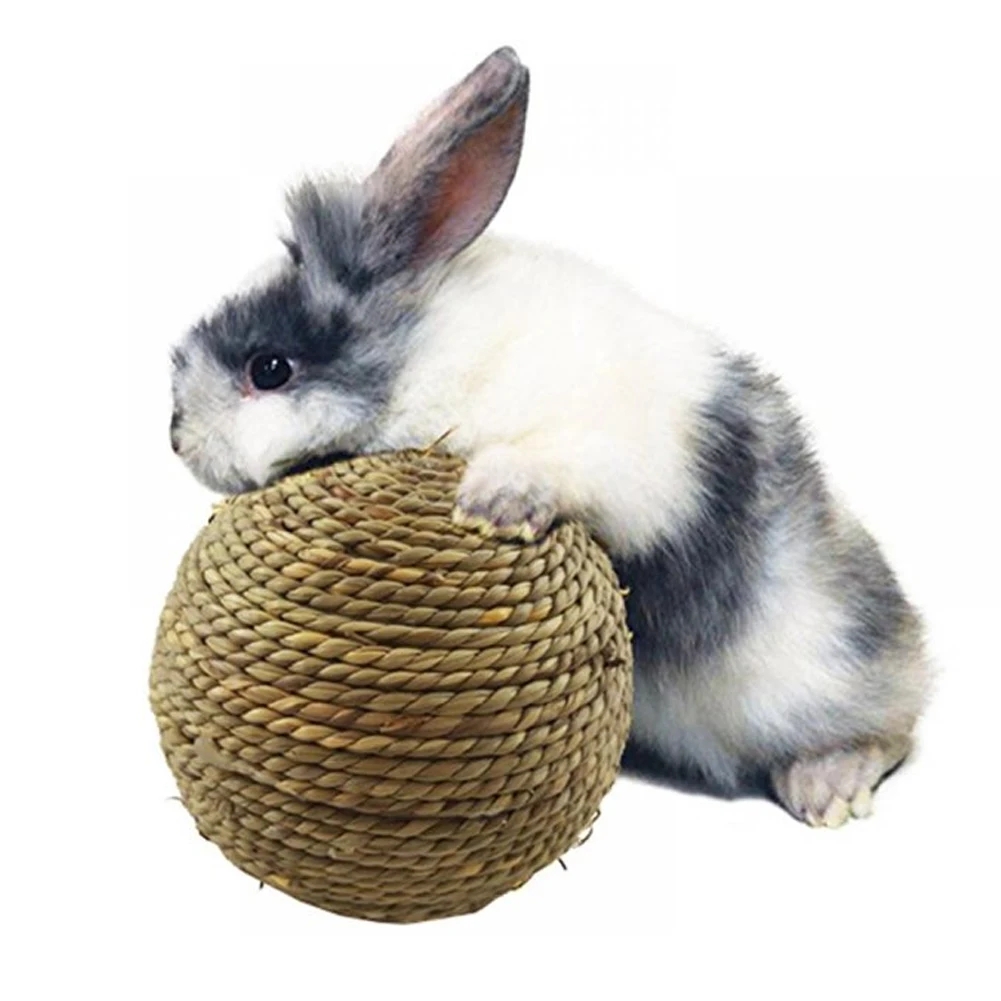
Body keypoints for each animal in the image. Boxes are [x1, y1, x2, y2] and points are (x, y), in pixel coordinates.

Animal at [169, 47, 930, 827]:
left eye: (269, 369)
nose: (176, 437)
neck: (426, 351)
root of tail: (907, 645)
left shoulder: (618, 451)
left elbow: (555, 463)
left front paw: (491, 503)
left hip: (820, 671)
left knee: (890, 727)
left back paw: (828, 786)